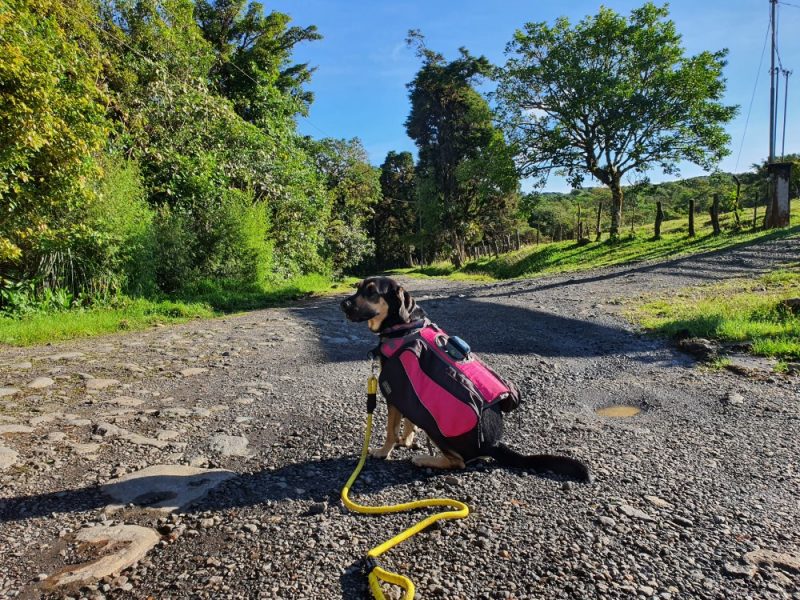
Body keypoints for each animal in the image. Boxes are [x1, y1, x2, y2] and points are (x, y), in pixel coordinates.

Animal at [340, 276, 592, 482]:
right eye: (358, 287)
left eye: (372, 292)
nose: (343, 304)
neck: (404, 325)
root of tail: (493, 443)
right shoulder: (408, 389)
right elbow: (409, 421)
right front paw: (407, 440)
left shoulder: (393, 391)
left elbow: (390, 431)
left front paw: (384, 452)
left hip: (437, 430)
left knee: (458, 462)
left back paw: (425, 460)